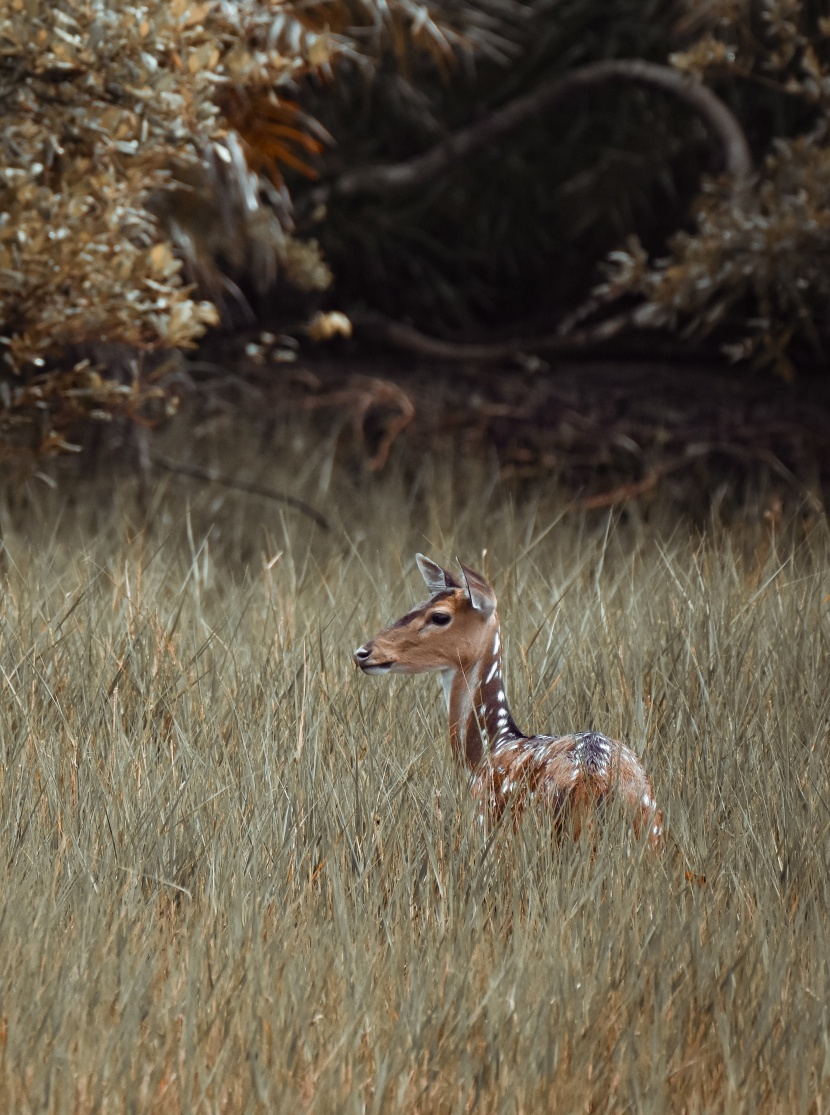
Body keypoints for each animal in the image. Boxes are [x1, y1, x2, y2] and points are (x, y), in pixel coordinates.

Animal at [352, 553, 664, 847]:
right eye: (416, 605)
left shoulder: (483, 824)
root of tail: (594, 782)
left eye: (439, 616)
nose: (363, 652)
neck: (486, 752)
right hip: (652, 832)